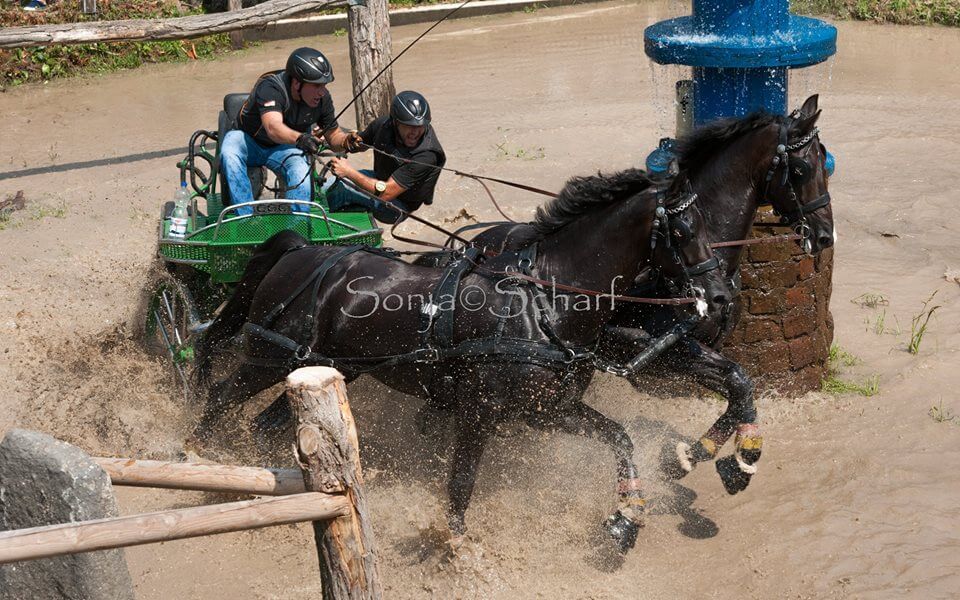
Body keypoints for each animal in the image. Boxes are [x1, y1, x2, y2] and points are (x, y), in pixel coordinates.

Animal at [199, 166, 732, 552]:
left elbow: (621, 439)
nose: (721, 296)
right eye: (684, 230)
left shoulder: (548, 410)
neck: (544, 305)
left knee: (262, 423)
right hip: (267, 358)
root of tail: (302, 250)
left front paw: (626, 519)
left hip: (322, 368)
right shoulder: (479, 412)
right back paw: (199, 457)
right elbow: (460, 483)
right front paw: (453, 546)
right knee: (219, 397)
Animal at [460, 96, 832, 494]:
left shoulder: (696, 351)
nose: (826, 234)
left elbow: (738, 385)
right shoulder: (654, 353)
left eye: (825, 162)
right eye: (802, 169)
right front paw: (735, 456)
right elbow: (737, 381)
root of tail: (473, 241)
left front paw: (699, 458)